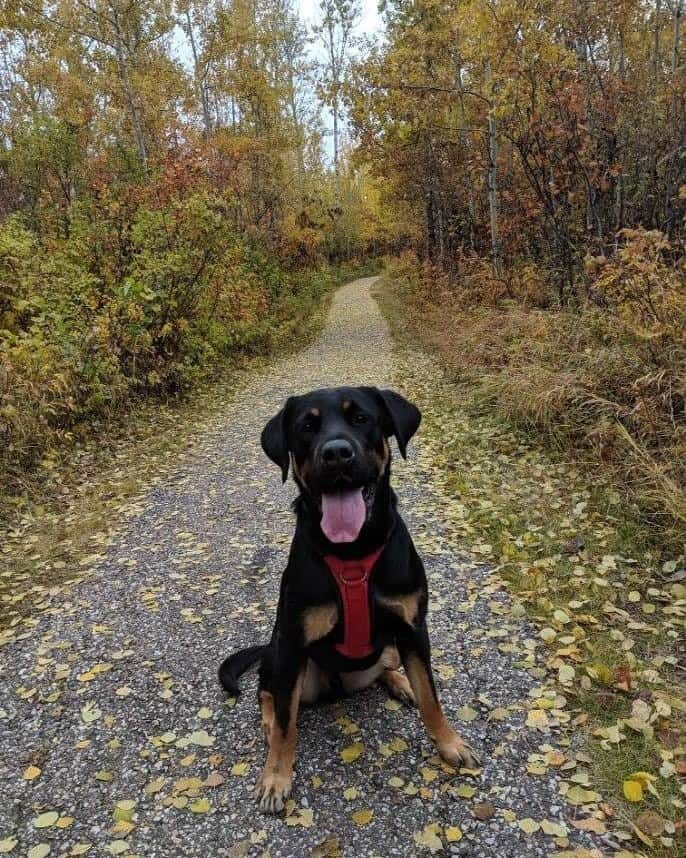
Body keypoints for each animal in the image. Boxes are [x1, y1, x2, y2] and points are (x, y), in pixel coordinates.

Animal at [219, 386, 478, 808]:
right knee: (267, 692)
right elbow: (287, 727)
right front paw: (275, 777)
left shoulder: (413, 628)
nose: (337, 453)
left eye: (361, 418)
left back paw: (399, 682)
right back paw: (269, 721)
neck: (353, 552)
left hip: (388, 646)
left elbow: (431, 697)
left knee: (387, 666)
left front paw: (449, 742)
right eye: (307, 427)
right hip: (285, 661)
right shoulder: (293, 643)